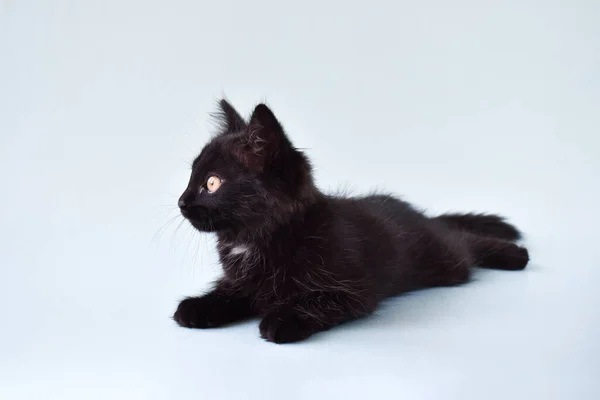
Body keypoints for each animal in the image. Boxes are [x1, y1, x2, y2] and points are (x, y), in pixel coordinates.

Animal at [171, 100, 528, 344]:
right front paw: (200, 306)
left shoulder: (355, 288)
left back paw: (515, 254)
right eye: (192, 177)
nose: (182, 202)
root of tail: (417, 212)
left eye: (212, 183)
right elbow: (232, 291)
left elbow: (317, 300)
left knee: (463, 244)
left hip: (443, 259)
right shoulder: (241, 280)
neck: (251, 239)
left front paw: (282, 318)